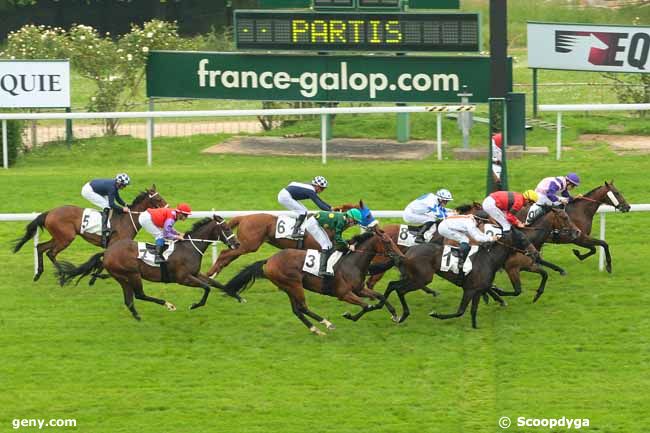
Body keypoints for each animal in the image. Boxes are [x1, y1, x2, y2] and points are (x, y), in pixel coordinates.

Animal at [13, 185, 166, 280]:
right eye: (158, 199)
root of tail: (49, 212)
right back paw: (62, 273)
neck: (126, 219)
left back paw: (38, 273)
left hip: (58, 237)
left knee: (40, 247)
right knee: (51, 253)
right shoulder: (114, 245)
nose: (168, 208)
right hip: (66, 238)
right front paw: (94, 277)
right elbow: (103, 262)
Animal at [57, 216, 239, 320]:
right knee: (139, 295)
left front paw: (236, 295)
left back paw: (137, 316)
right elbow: (207, 287)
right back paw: (167, 304)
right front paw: (195, 305)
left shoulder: (195, 273)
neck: (189, 248)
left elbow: (214, 283)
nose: (237, 244)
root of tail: (107, 252)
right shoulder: (183, 278)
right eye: (226, 228)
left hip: (122, 278)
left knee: (129, 300)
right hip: (132, 274)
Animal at [208, 200, 374, 276]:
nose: (376, 226)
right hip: (248, 245)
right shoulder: (317, 247)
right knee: (224, 254)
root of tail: (243, 218)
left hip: (244, 245)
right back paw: (211, 273)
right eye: (368, 215)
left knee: (228, 257)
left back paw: (214, 274)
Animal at [224, 228, 404, 336]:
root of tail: (268, 260)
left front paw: (395, 315)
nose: (401, 256)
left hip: (287, 287)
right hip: (294, 284)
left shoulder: (359, 289)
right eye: (387, 242)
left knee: (297, 310)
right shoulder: (344, 294)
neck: (352, 262)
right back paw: (327, 324)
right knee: (303, 307)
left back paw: (316, 329)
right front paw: (349, 316)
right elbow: (366, 306)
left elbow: (381, 297)